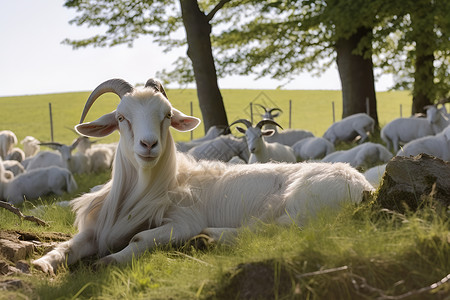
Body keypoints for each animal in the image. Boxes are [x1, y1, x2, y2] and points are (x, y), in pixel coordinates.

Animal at [33, 78, 374, 274]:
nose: (149, 144)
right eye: (121, 117)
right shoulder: (98, 227)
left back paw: (211, 236)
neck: (146, 190)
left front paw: (109, 261)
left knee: (276, 228)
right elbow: (69, 246)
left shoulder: (184, 220)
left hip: (305, 200)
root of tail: (362, 184)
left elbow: (141, 237)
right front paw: (42, 264)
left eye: (167, 115)